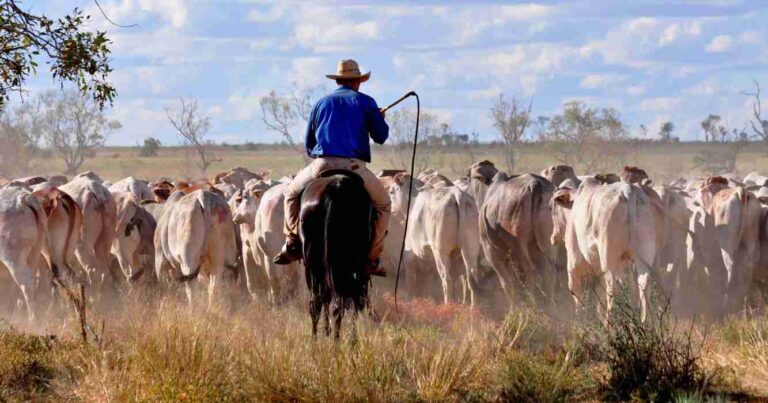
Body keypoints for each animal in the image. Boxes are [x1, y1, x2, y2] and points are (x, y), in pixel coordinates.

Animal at [298, 169, 374, 340]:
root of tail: (335, 188)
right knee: (344, 303)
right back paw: (343, 340)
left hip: (313, 263)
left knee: (319, 302)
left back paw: (318, 339)